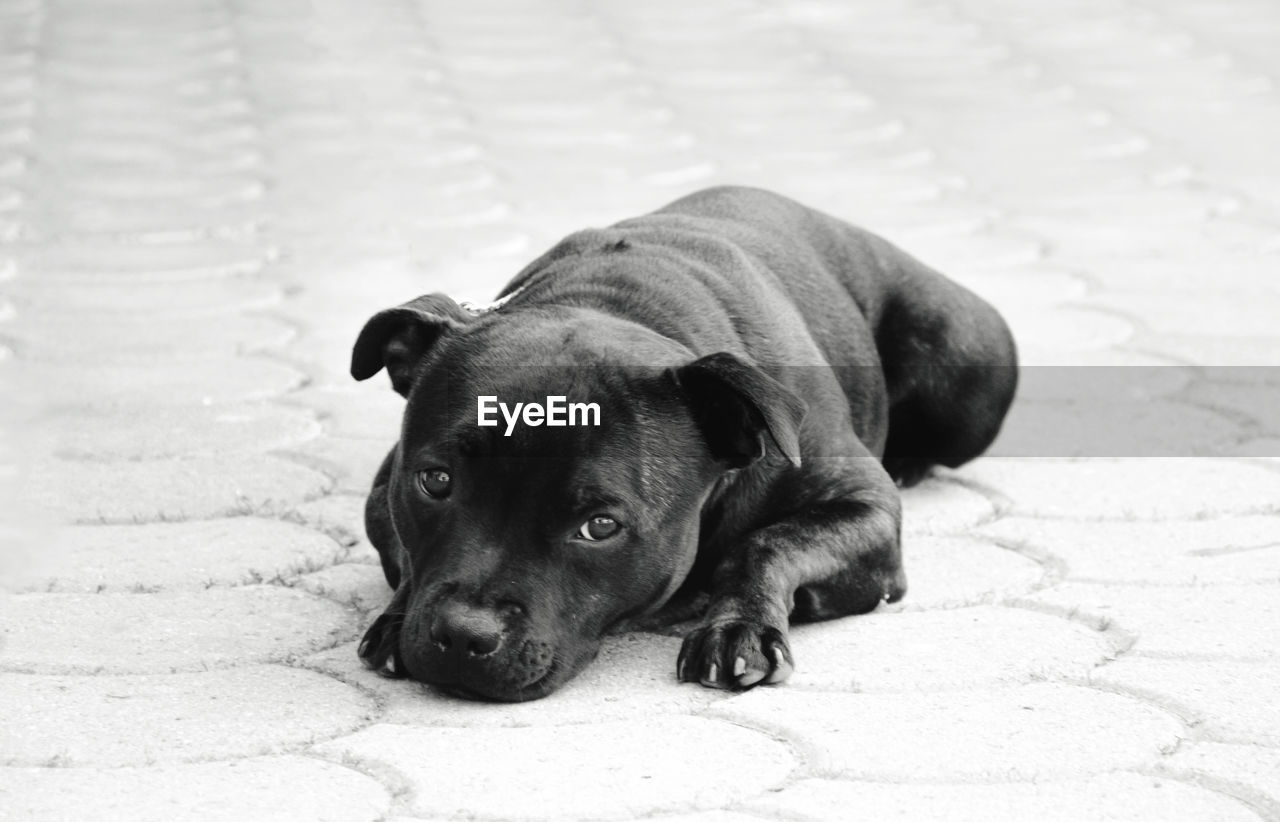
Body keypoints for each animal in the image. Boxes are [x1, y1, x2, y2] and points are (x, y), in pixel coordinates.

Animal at [348, 184, 1008, 696]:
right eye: (436, 482)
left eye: (601, 526)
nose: (464, 633)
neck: (620, 304)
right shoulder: (384, 489)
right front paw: (397, 615)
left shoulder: (866, 504)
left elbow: (769, 541)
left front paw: (739, 626)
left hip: (966, 362)